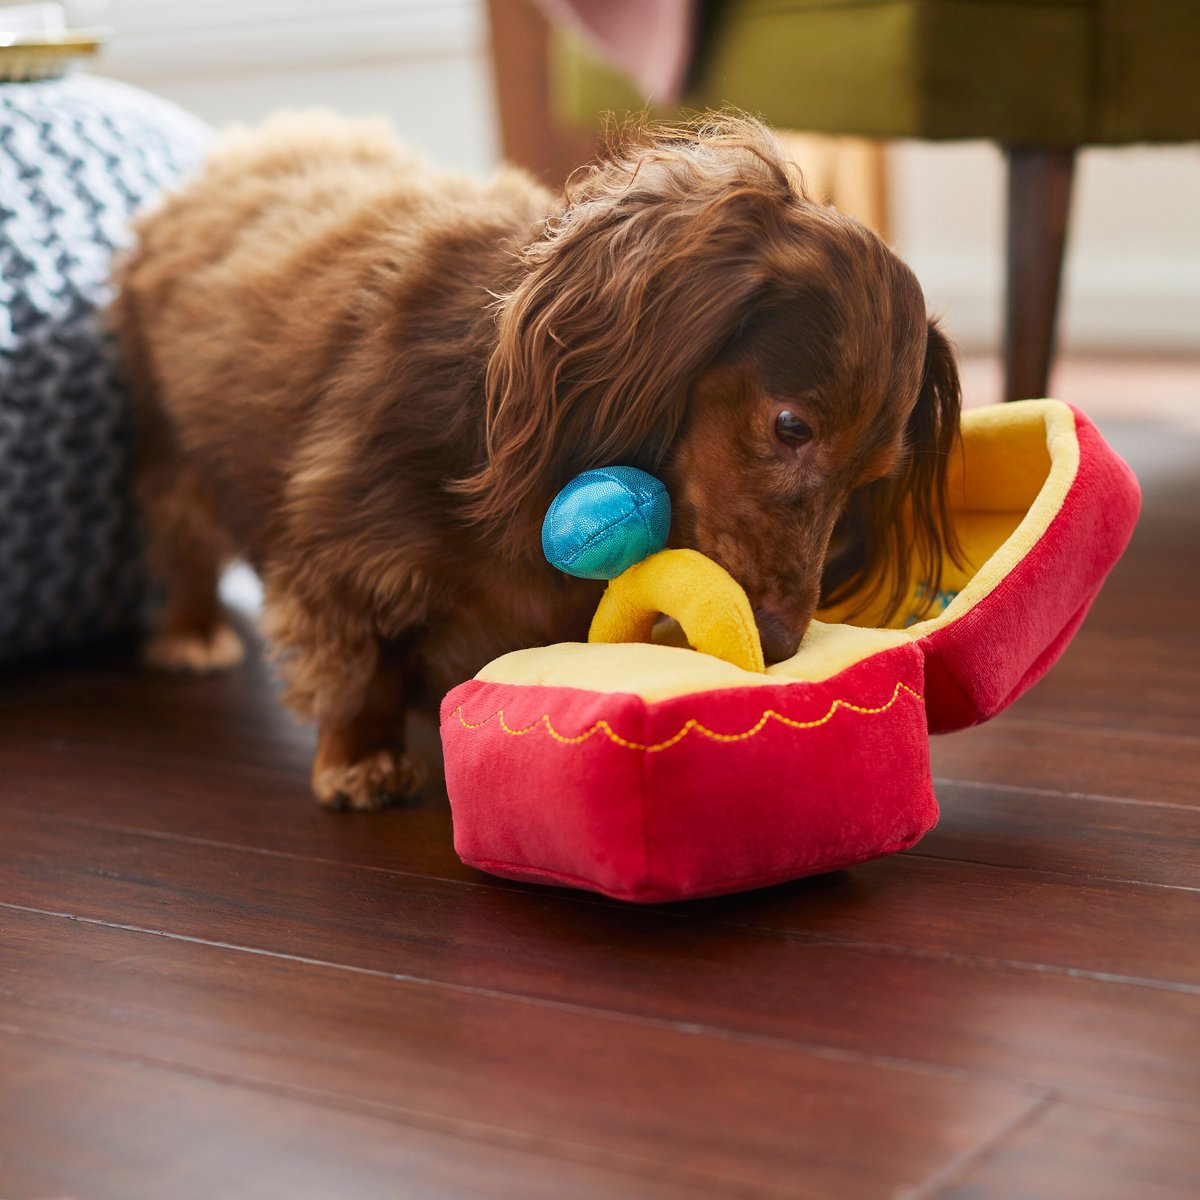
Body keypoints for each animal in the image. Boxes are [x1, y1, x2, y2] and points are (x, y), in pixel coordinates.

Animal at [108, 112, 960, 811]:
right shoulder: (340, 544)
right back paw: (192, 634)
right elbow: (358, 664)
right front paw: (361, 759)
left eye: (869, 480)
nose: (780, 644)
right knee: (186, 546)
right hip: (170, 451)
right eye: (791, 427)